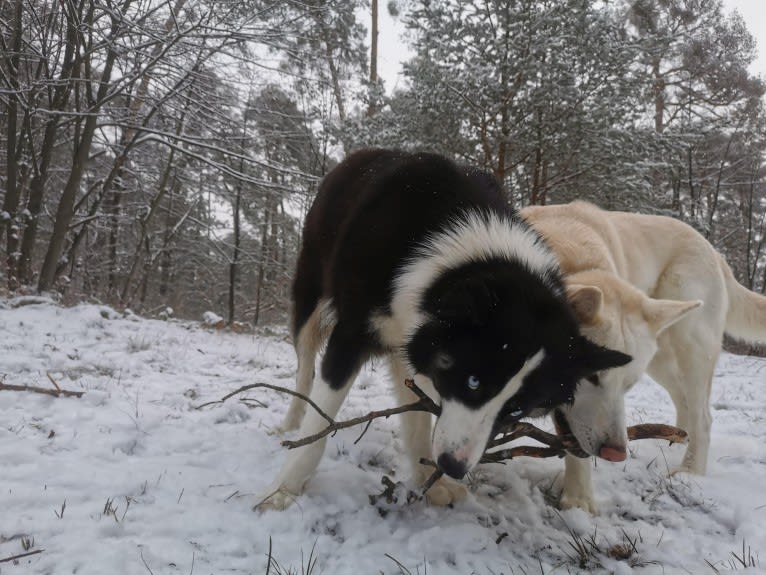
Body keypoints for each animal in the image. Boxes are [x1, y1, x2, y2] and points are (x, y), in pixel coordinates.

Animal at [258, 151, 632, 510]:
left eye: (517, 411)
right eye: (473, 381)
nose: (453, 465)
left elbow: (420, 416)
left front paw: (432, 482)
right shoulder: (350, 336)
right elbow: (320, 425)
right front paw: (282, 490)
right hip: (311, 293)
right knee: (305, 365)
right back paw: (293, 421)